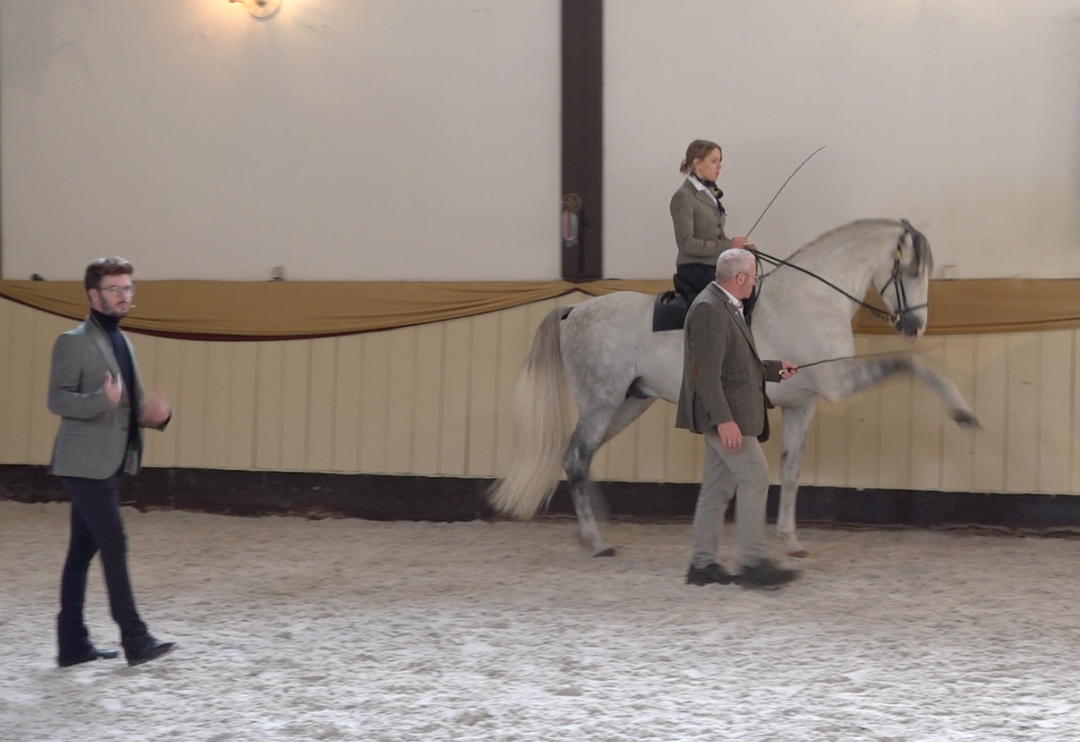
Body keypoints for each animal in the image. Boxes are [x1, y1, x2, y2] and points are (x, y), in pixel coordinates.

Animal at [494, 219, 984, 557]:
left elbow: (791, 470)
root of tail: (576, 310)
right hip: (601, 402)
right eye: (912, 269)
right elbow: (909, 363)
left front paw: (790, 540)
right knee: (577, 456)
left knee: (579, 456)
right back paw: (596, 541)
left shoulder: (803, 403)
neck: (811, 299)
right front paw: (963, 413)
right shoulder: (837, 381)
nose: (915, 327)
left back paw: (589, 531)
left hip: (626, 404)